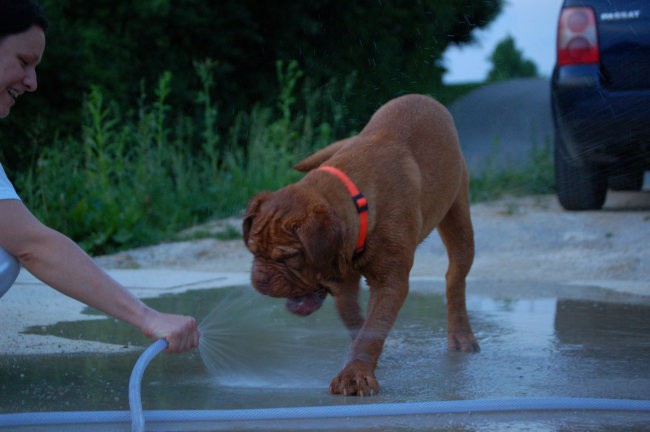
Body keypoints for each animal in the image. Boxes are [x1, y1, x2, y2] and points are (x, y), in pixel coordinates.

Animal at [242, 93, 476, 394]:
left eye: (288, 257)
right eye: (253, 251)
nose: (259, 279)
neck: (357, 200)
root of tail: (424, 97)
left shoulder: (390, 281)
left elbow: (372, 328)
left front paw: (355, 374)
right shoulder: (343, 282)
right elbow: (357, 322)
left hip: (458, 217)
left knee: (455, 278)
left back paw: (461, 336)